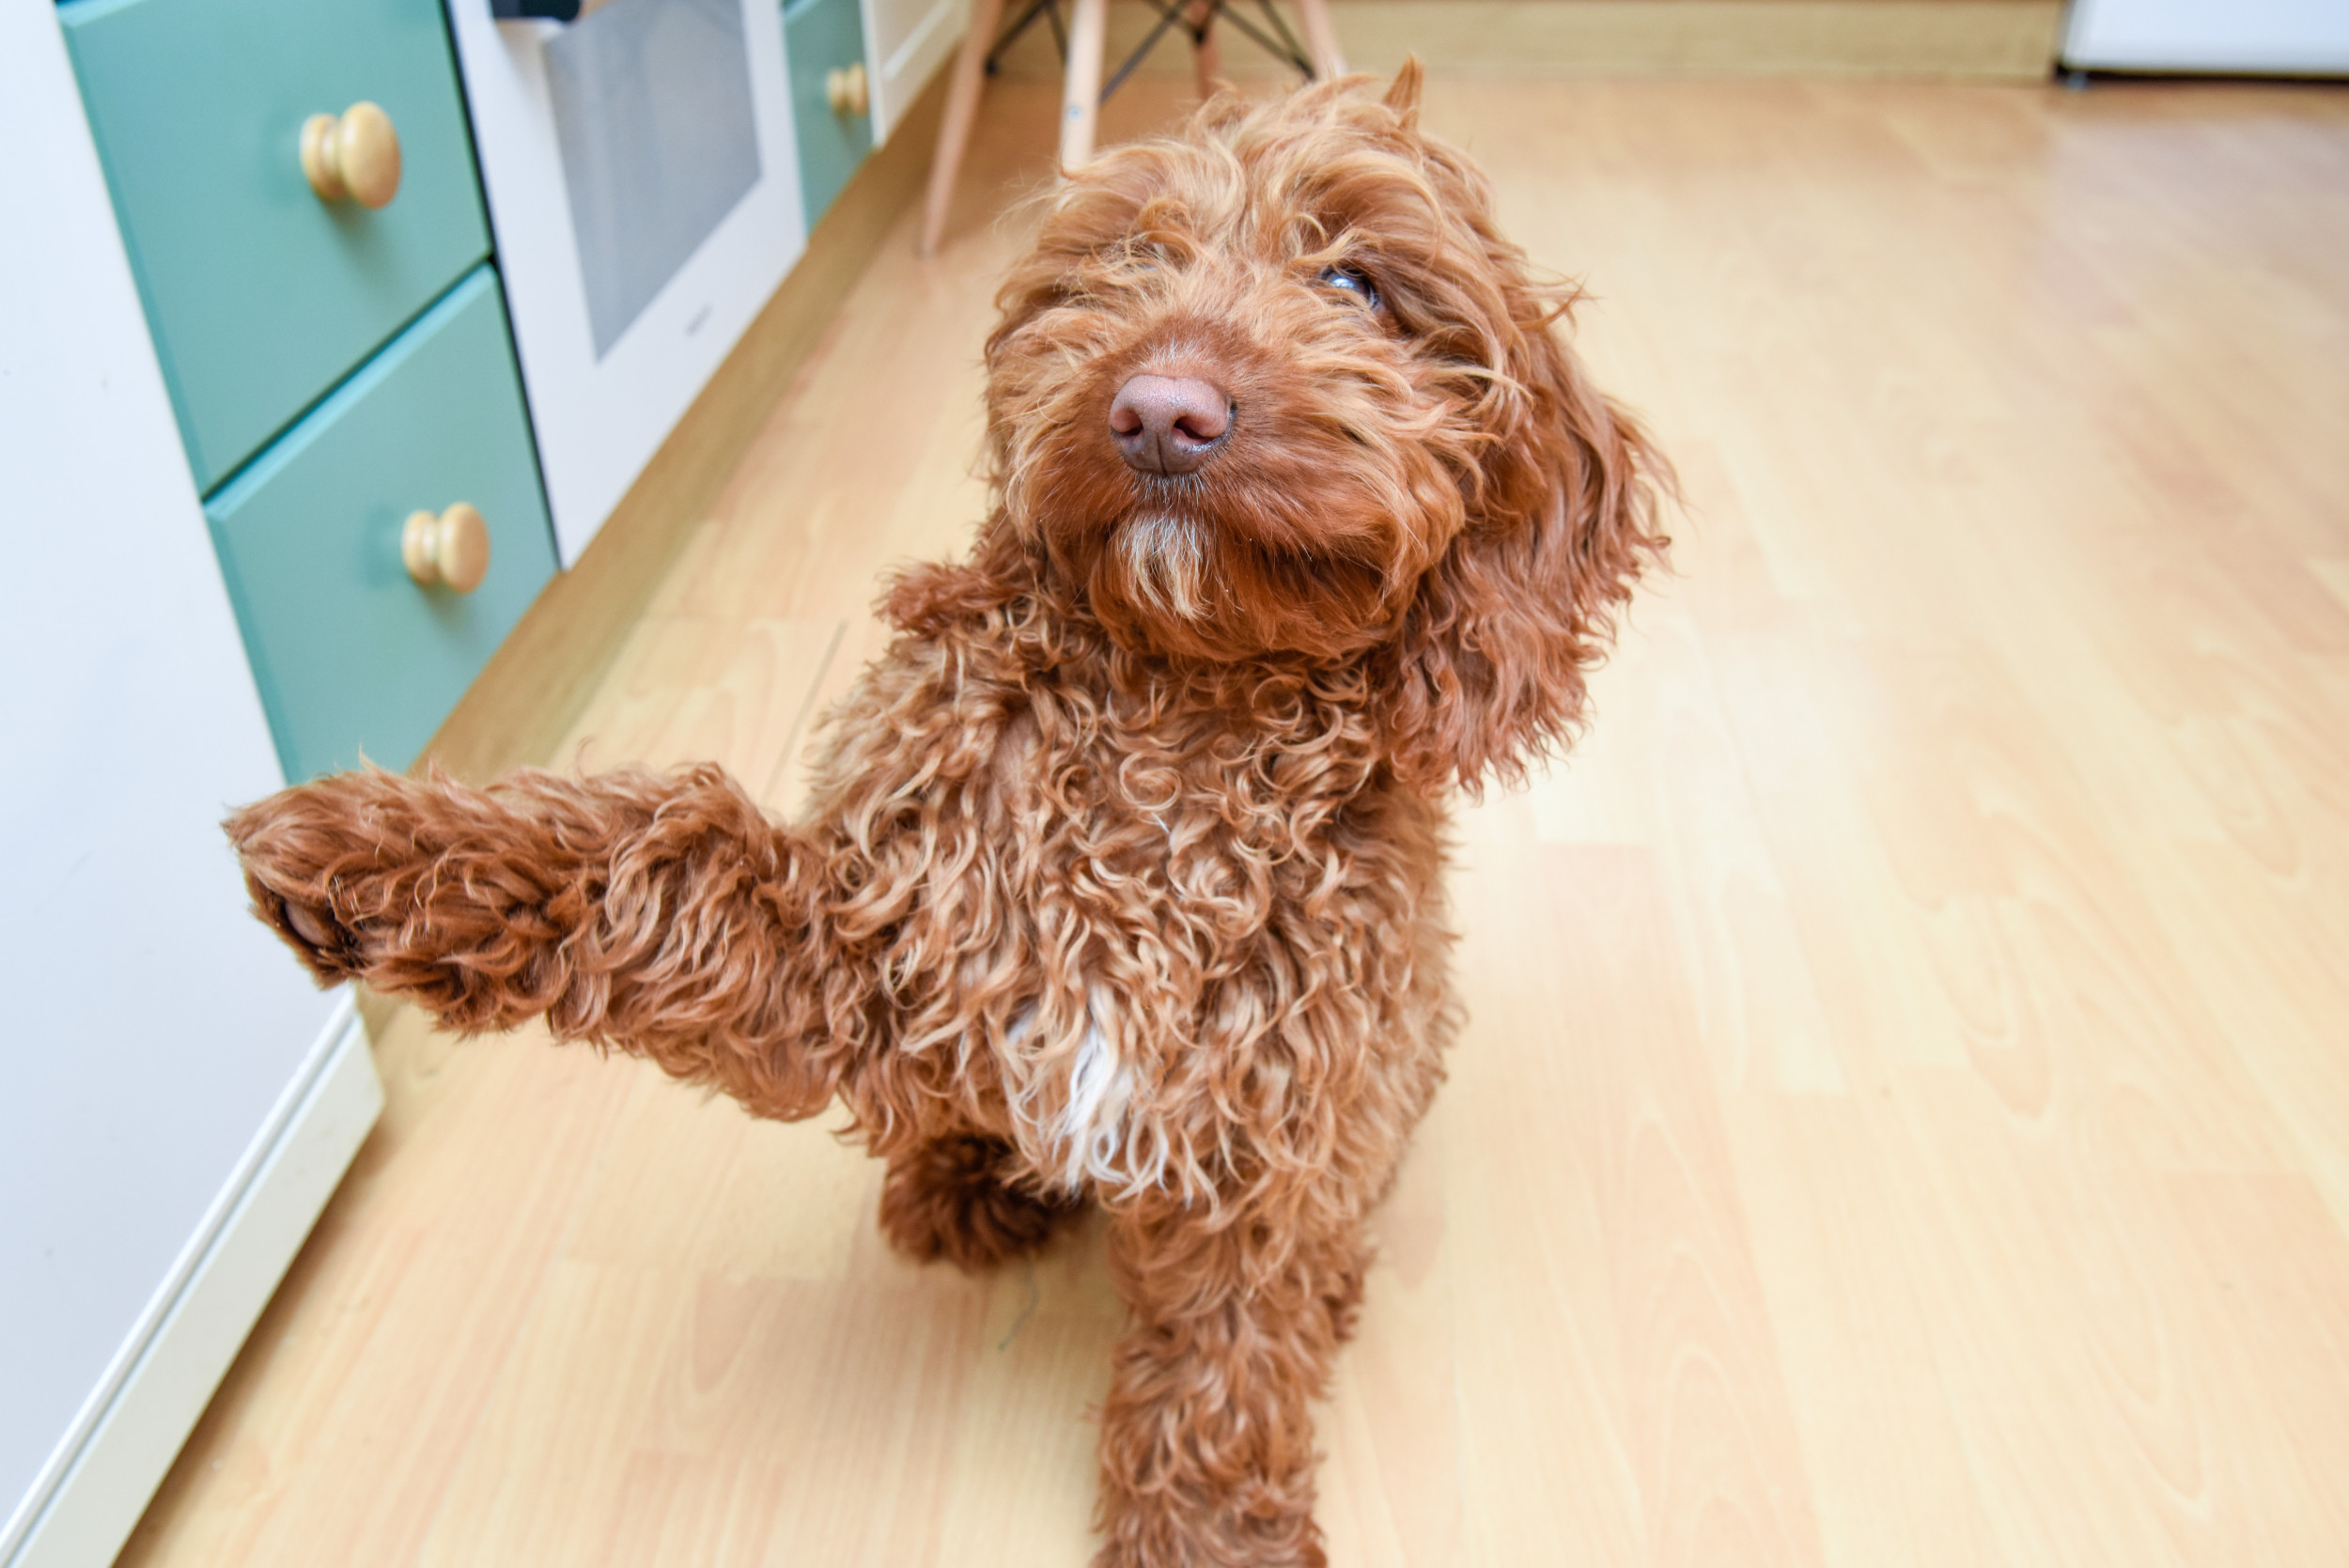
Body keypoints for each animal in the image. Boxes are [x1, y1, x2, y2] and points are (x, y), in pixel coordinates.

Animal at [228, 67, 1672, 1568]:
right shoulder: (874, 939)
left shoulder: (1271, 1127)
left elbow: (1226, 1356)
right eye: (1130, 258)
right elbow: (665, 850)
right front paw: (370, 850)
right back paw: (967, 1181)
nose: (1160, 410)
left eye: (1355, 281)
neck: (1175, 726)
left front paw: (1211, 1528)